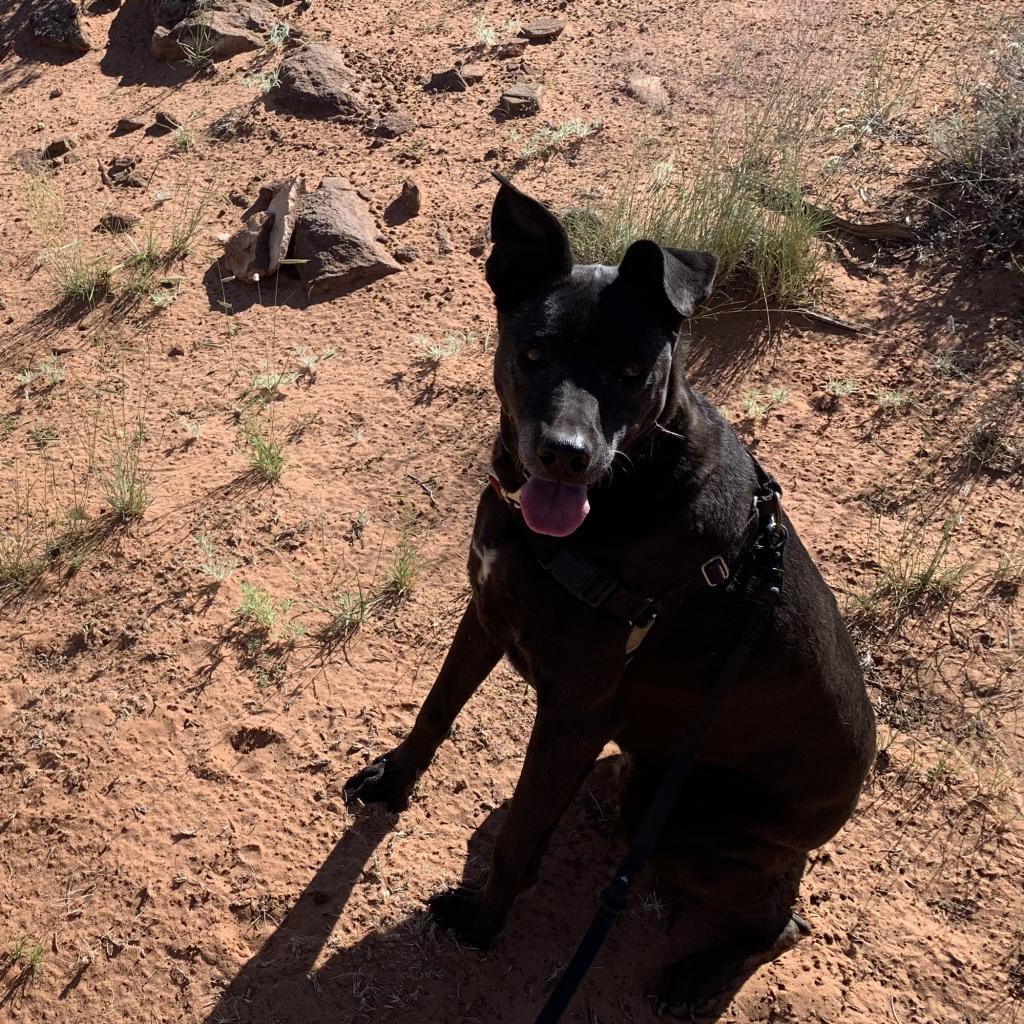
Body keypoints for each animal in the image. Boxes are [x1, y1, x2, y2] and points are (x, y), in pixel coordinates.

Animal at [348, 176, 876, 1015]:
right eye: (534, 352)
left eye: (631, 370)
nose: (565, 455)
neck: (624, 494)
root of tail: (840, 810)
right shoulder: (485, 613)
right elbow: (436, 710)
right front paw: (394, 780)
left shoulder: (575, 710)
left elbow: (521, 834)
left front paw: (483, 921)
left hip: (684, 818)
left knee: (784, 923)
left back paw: (697, 977)